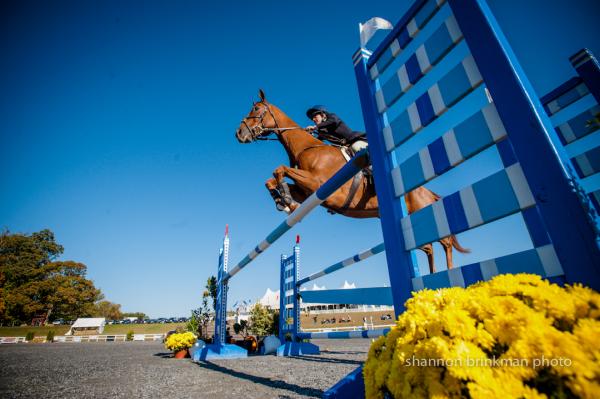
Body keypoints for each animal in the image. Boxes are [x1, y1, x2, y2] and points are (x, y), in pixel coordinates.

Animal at [234, 90, 468, 272]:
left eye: (257, 110)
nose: (239, 133)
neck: (307, 148)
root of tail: (427, 191)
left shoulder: (318, 184)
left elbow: (280, 170)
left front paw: (286, 200)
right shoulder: (308, 192)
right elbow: (272, 180)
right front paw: (283, 200)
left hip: (423, 213)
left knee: (445, 241)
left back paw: (449, 274)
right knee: (428, 247)